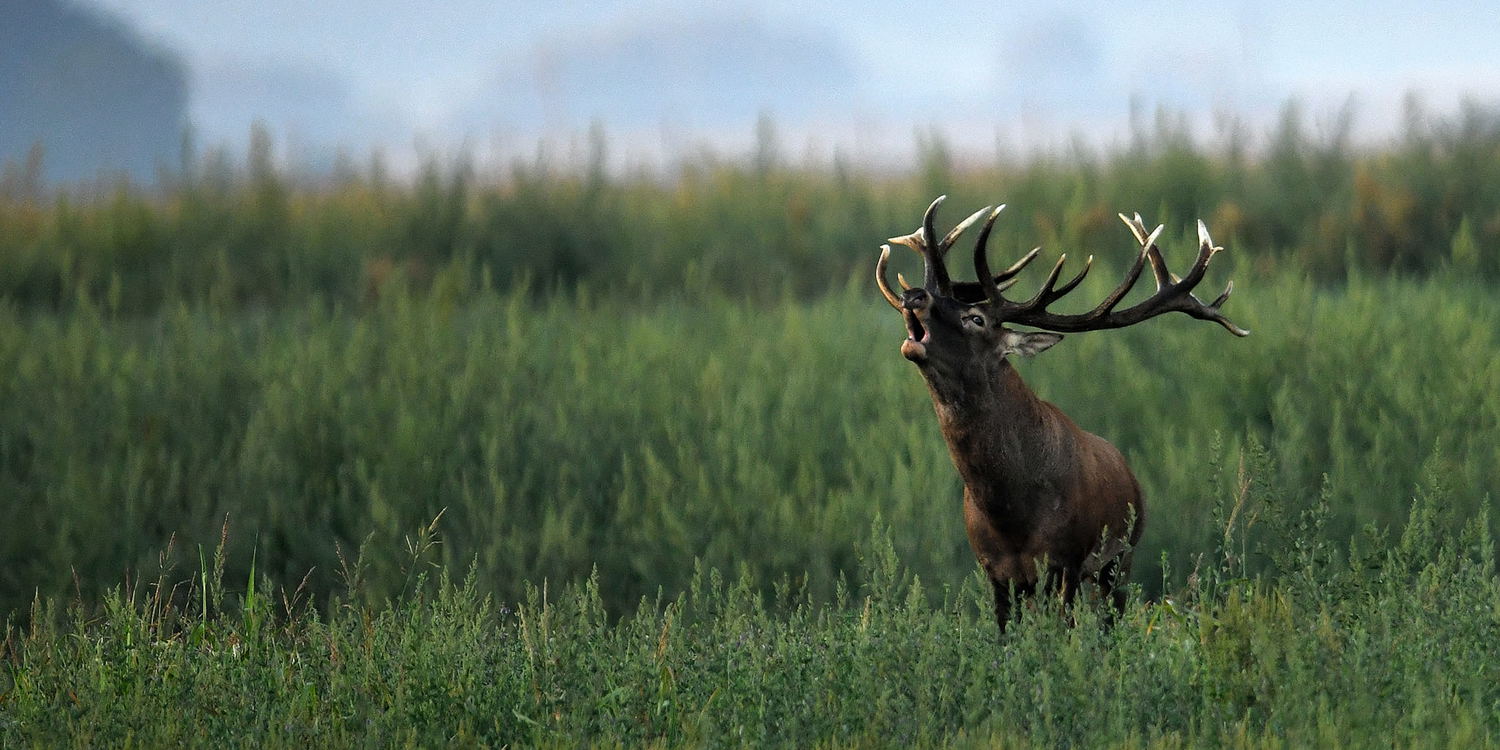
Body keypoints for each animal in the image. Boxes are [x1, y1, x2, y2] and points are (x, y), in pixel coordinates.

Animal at [875, 196, 1248, 631]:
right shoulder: (994, 569)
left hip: (1122, 555)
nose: (915, 295)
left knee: (1108, 618)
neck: (1011, 513)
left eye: (975, 318)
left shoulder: (1066, 557)